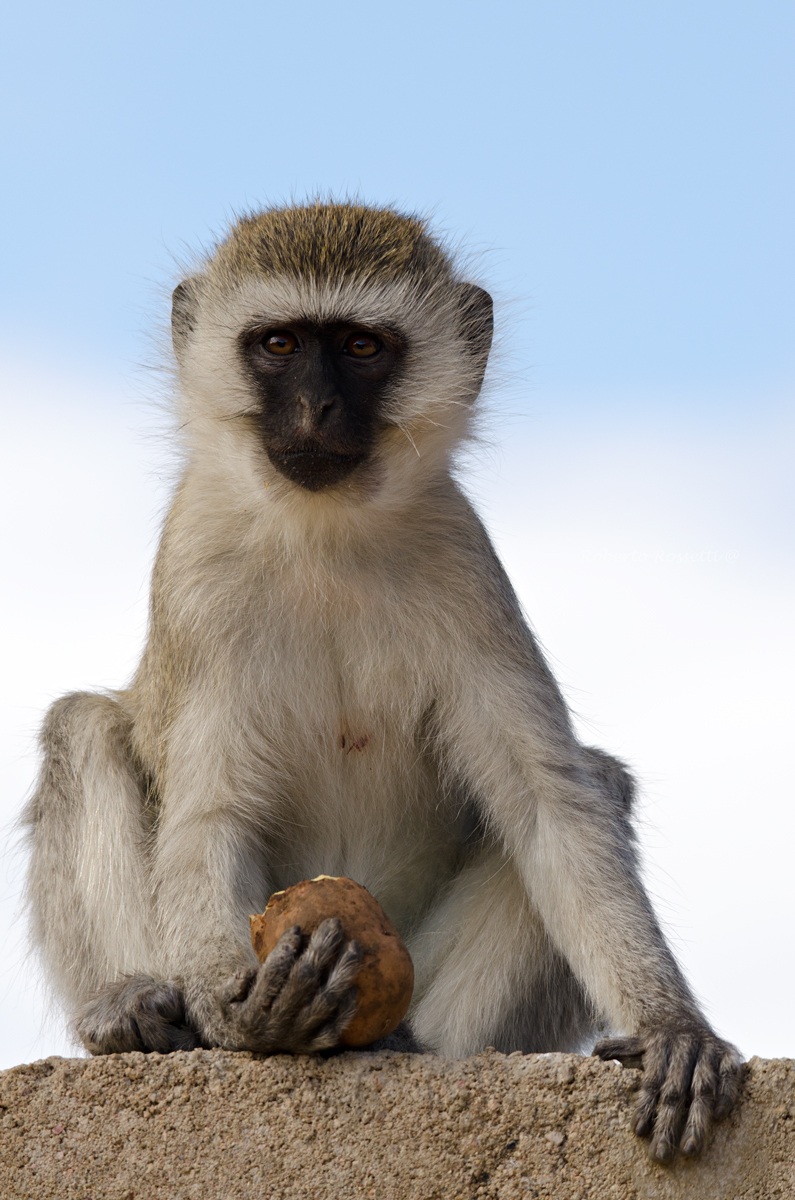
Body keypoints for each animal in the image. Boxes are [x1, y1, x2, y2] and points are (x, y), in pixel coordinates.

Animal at [22, 201, 742, 1163]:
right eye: (280, 344)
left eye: (362, 348)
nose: (318, 406)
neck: (322, 530)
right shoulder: (199, 576)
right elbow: (211, 818)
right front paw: (240, 1012)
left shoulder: (464, 566)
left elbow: (547, 807)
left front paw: (674, 1027)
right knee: (83, 728)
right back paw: (137, 1011)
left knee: (591, 786)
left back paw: (409, 1044)